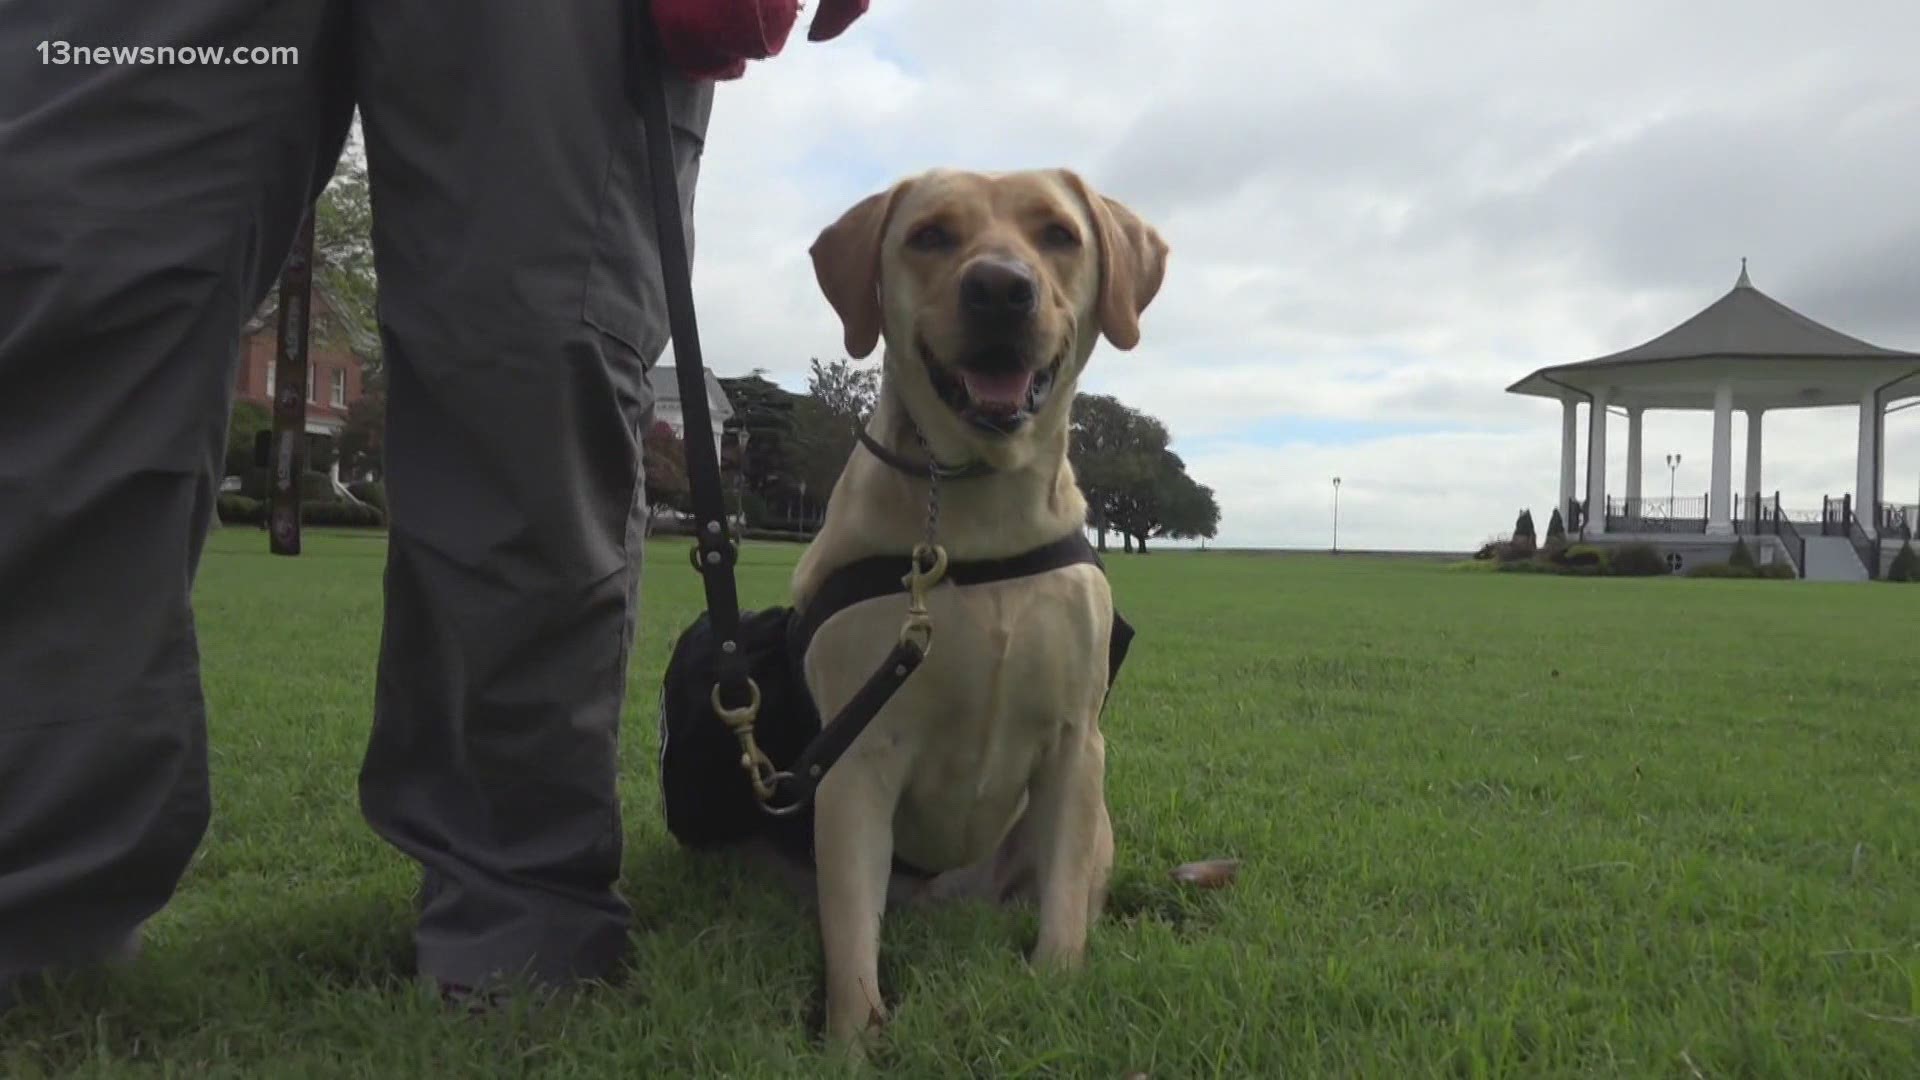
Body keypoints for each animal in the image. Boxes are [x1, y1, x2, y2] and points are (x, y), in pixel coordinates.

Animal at [783, 168, 1167, 1045]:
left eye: (1058, 233)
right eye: (930, 236)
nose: (999, 288)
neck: (981, 510)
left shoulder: (1075, 742)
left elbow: (1063, 904)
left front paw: (1057, 987)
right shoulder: (854, 759)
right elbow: (850, 934)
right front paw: (851, 1039)